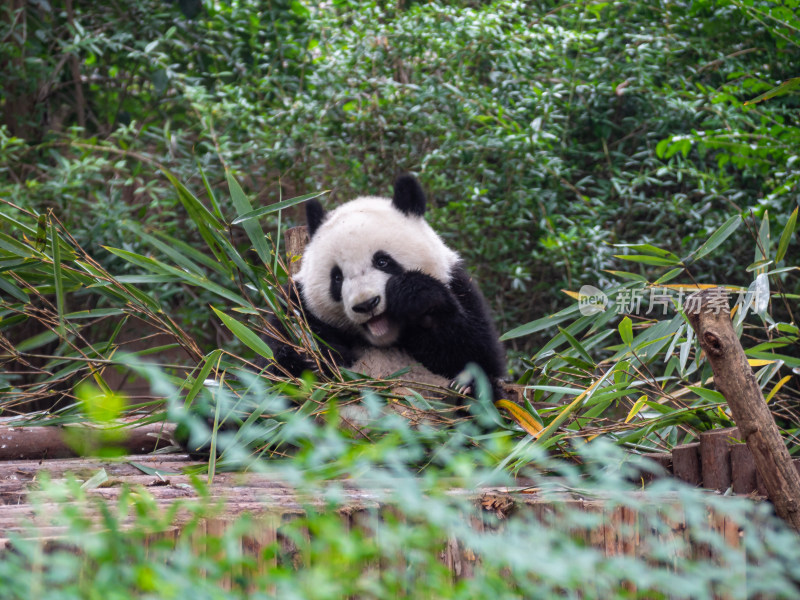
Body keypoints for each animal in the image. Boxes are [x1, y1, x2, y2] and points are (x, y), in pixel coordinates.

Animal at [266, 173, 504, 398]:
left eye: (382, 261)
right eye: (337, 277)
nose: (366, 304)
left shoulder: (458, 286)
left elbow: (476, 353)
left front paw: (412, 295)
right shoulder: (295, 306)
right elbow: (273, 364)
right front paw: (307, 360)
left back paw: (468, 390)